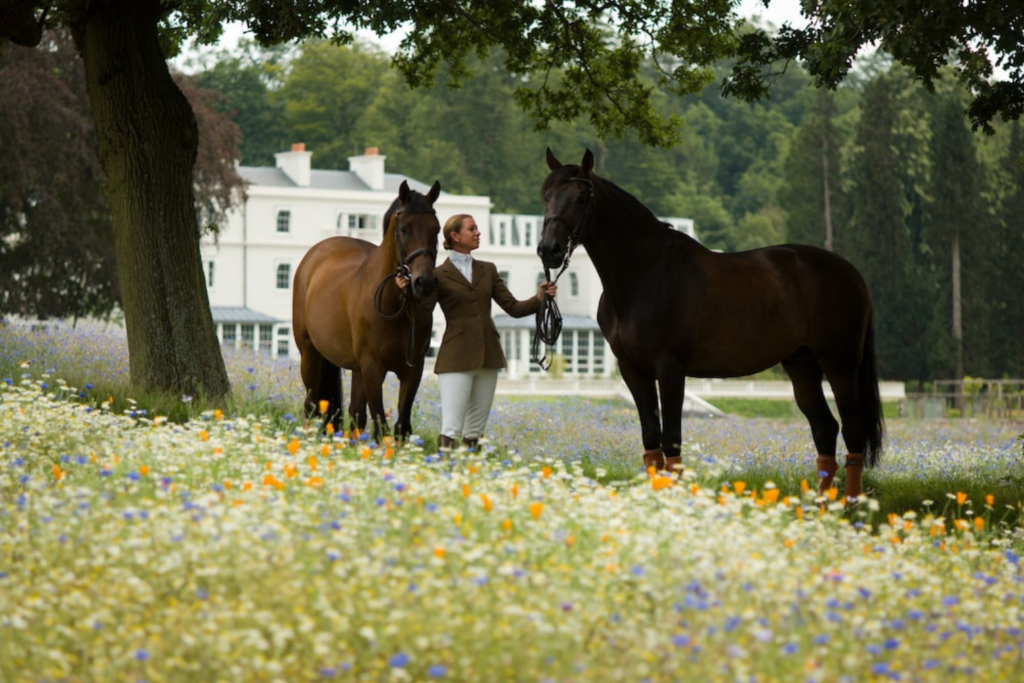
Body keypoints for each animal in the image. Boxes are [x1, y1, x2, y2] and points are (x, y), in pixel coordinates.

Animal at [294, 179, 442, 440]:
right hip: (310, 353)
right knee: (311, 406)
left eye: (437, 229)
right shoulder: (373, 368)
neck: (393, 305)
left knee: (355, 415)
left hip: (355, 368)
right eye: (404, 229)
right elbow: (381, 425)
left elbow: (401, 425)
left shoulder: (413, 370)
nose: (423, 283)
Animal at [536, 150, 880, 501]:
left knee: (852, 431)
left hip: (840, 365)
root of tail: (851, 273)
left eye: (581, 197)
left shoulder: (670, 368)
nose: (548, 250)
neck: (646, 273)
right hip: (801, 363)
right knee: (825, 429)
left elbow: (671, 440)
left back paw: (851, 507)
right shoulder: (633, 369)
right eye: (546, 196)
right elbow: (651, 440)